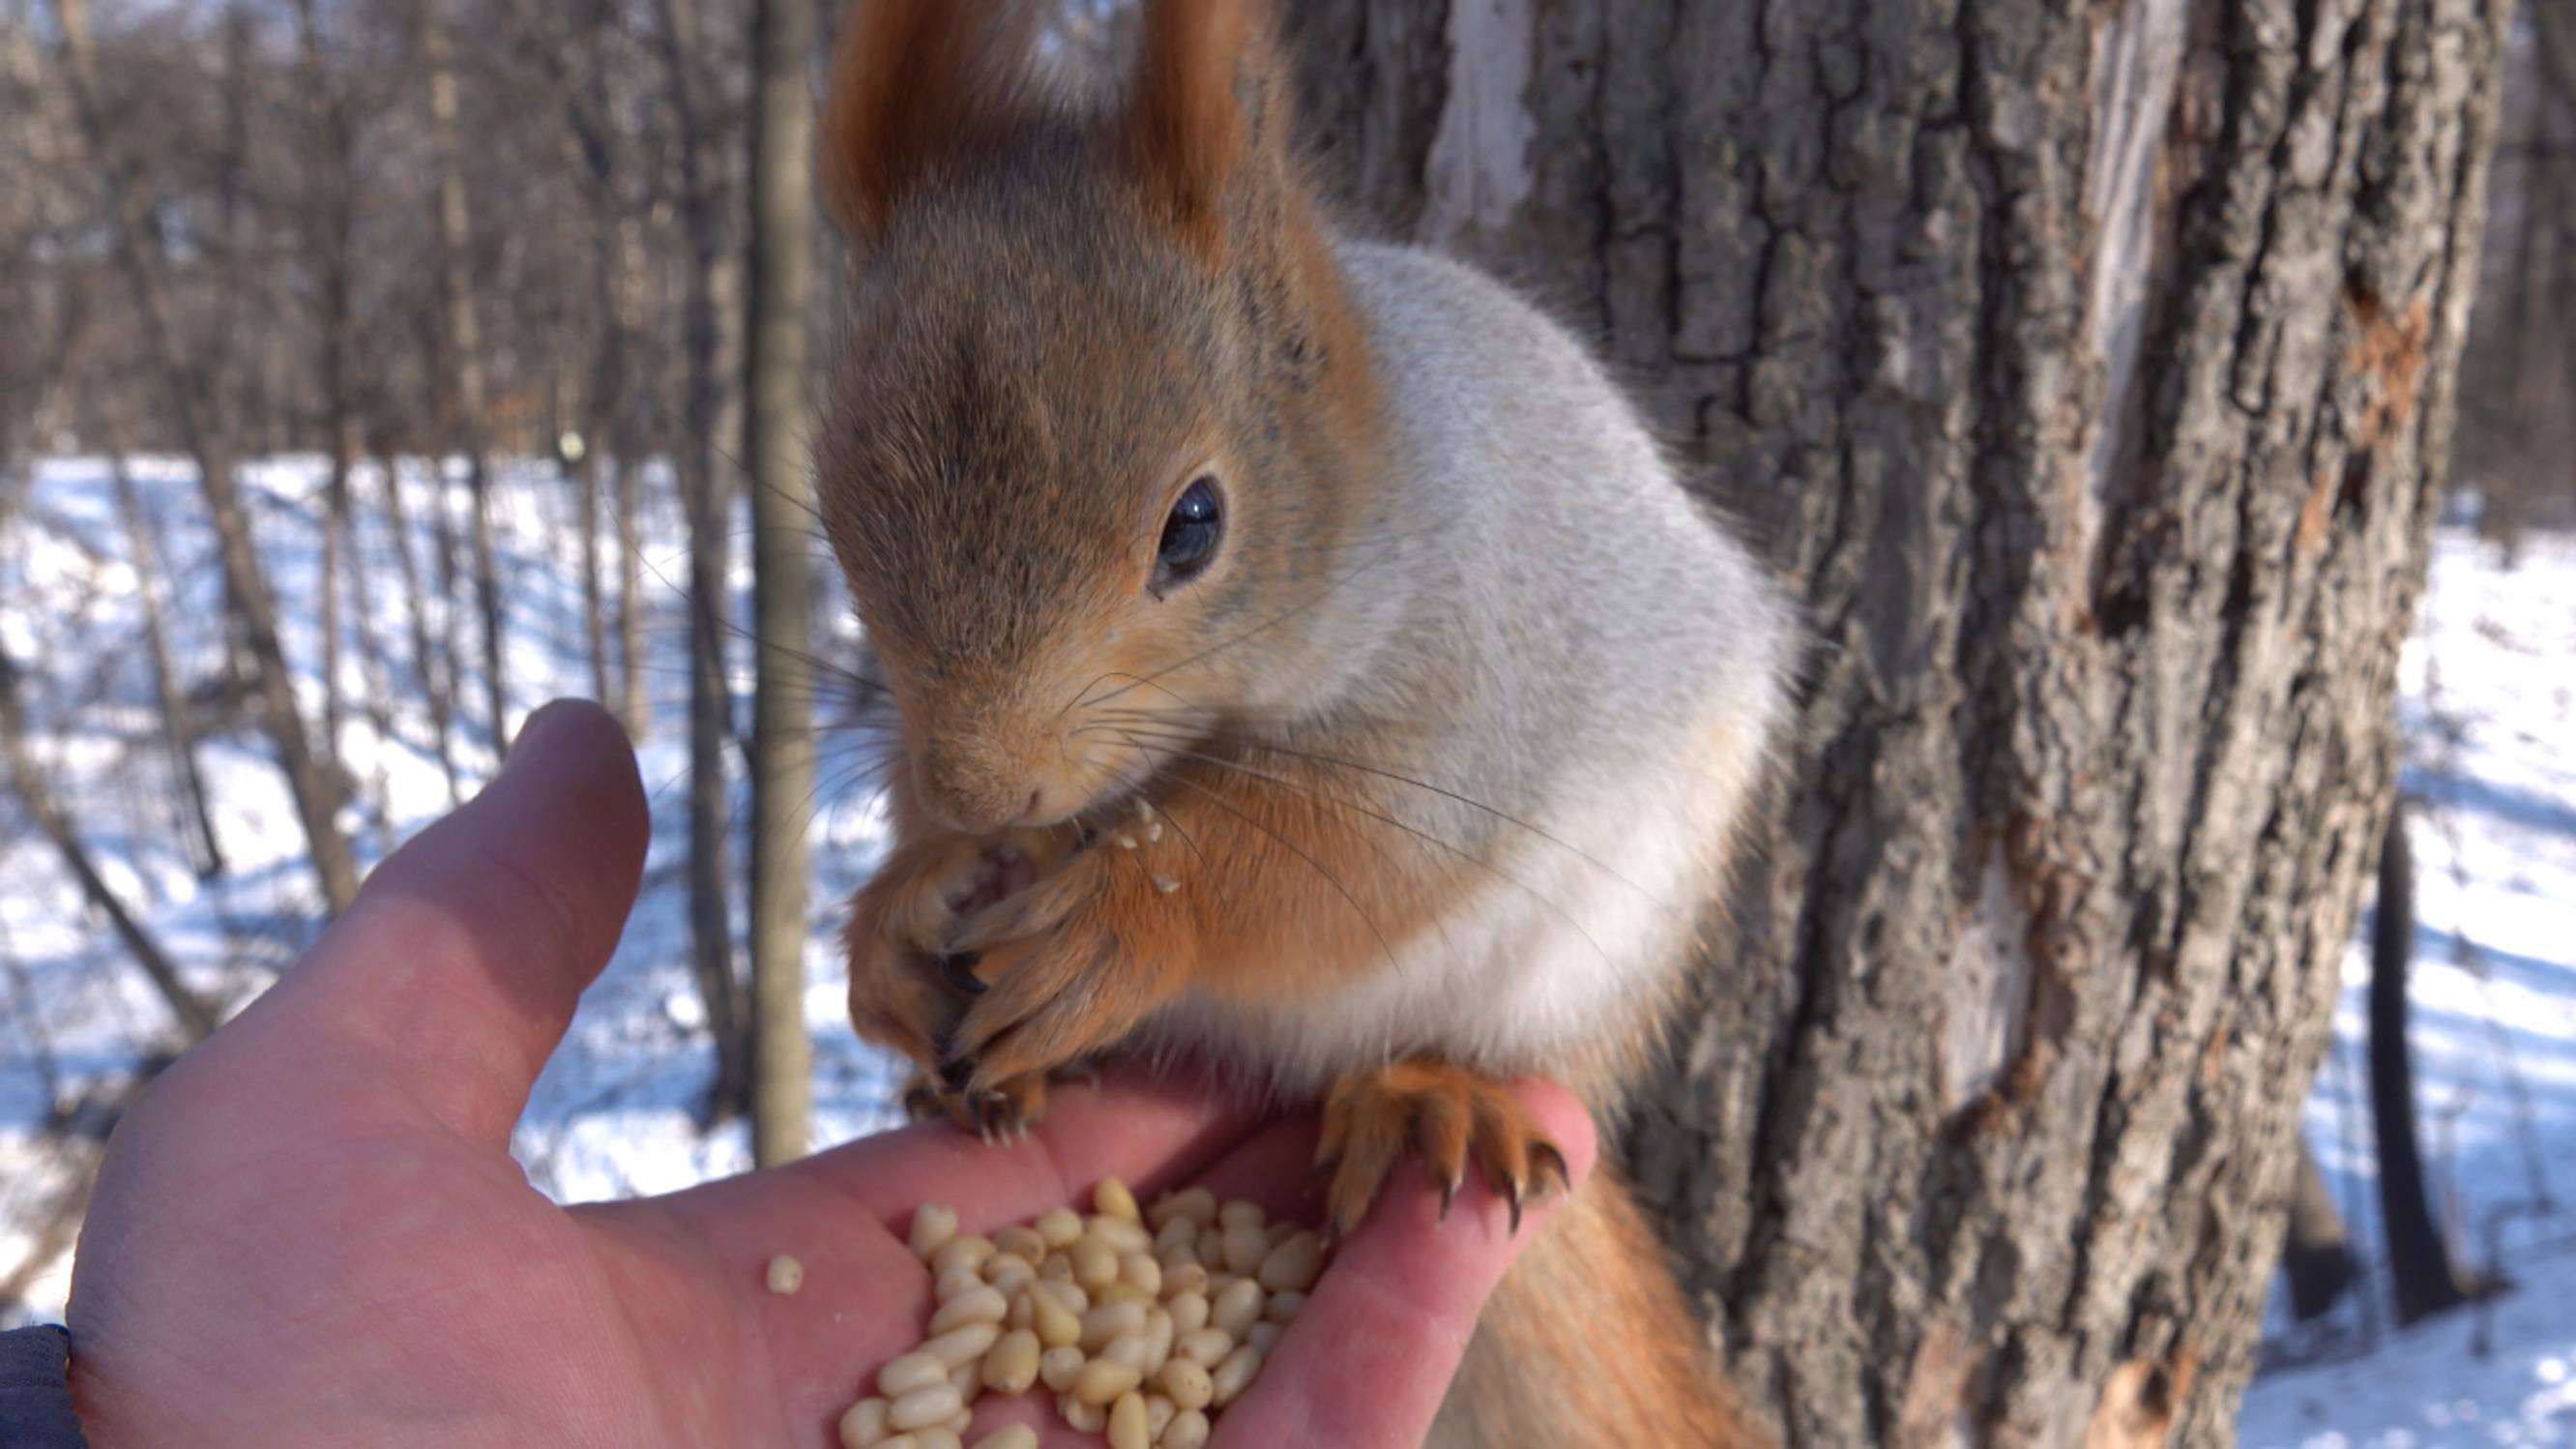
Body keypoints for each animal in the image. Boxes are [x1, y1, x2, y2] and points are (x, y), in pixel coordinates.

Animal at [813, 5, 1782, 1434]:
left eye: (1195, 525)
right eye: (830, 514)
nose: (987, 789)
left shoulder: (1464, 700)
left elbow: (1343, 862)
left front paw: (1125, 917)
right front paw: (901, 913)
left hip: (1592, 958)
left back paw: (1442, 1094)